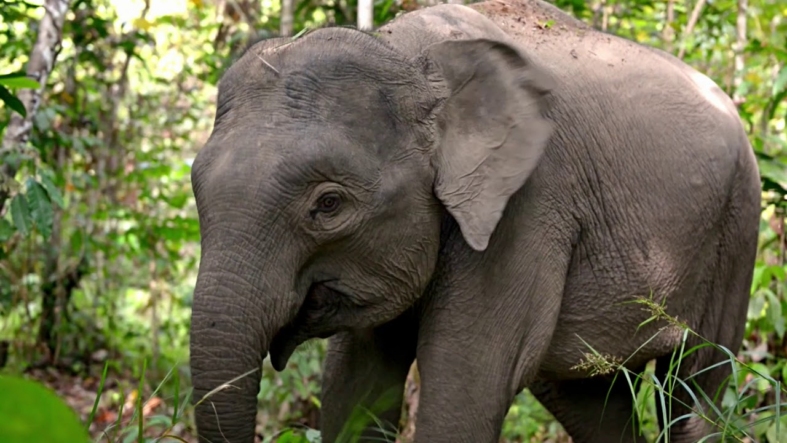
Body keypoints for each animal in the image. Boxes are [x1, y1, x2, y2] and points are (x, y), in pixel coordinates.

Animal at [187, 0, 761, 442]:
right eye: (197, 190)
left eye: (328, 204)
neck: (411, 57)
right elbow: (353, 386)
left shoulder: (529, 204)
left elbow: (466, 387)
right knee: (591, 401)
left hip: (738, 228)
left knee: (697, 389)